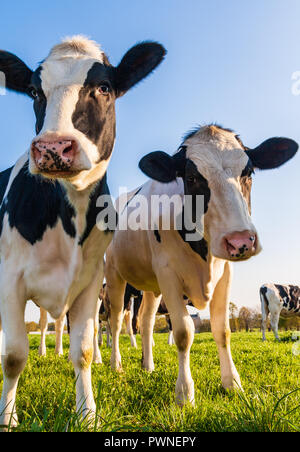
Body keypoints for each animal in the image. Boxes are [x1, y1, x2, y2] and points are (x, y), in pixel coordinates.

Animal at [0, 35, 165, 428]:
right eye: (34, 91)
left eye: (103, 87)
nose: (52, 147)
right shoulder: (10, 279)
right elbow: (13, 356)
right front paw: (6, 418)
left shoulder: (90, 282)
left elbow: (85, 351)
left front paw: (87, 415)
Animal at [105, 124, 298, 406]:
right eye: (192, 178)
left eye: (248, 172)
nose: (241, 240)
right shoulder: (168, 273)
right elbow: (184, 333)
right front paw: (185, 394)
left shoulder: (224, 272)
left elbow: (223, 330)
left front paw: (233, 383)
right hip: (114, 275)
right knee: (117, 321)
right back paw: (115, 365)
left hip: (152, 287)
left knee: (146, 321)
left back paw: (148, 366)